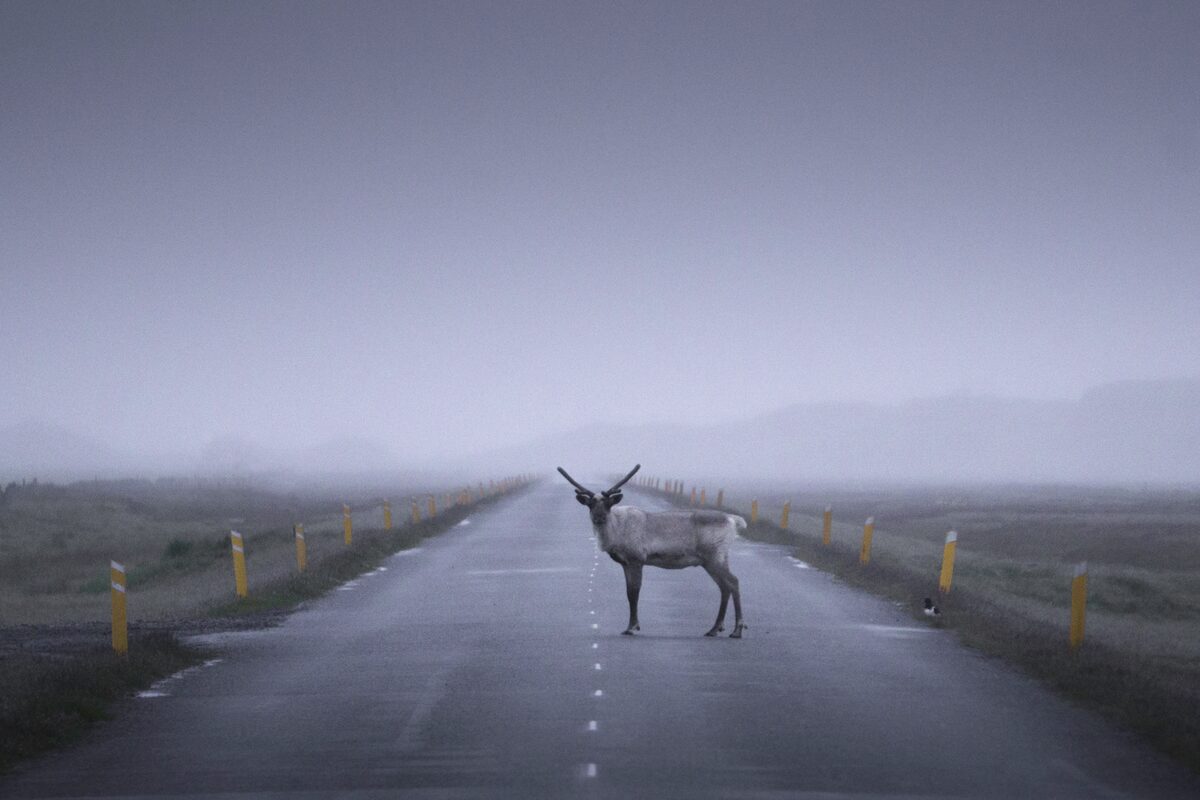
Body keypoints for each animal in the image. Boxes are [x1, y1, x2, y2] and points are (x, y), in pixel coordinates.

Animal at [557, 464, 748, 638]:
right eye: (590, 504)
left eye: (608, 504)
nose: (599, 518)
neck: (616, 531)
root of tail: (733, 520)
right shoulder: (625, 563)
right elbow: (628, 592)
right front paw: (631, 625)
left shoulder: (637, 559)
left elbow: (634, 592)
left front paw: (632, 627)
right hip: (710, 560)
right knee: (724, 586)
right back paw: (715, 629)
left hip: (715, 556)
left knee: (733, 581)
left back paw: (737, 630)